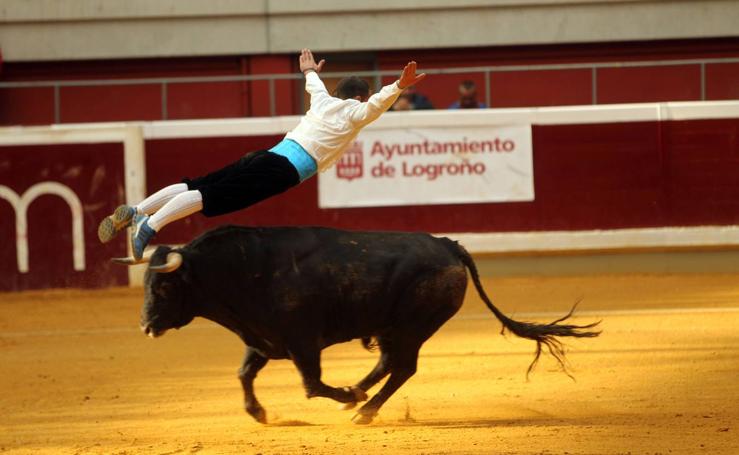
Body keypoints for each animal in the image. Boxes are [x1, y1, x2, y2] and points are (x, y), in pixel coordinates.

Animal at [129, 226, 600, 426]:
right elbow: (243, 374)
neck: (240, 269)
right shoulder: (262, 340)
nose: (146, 326)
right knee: (390, 364)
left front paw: (346, 396)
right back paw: (359, 399)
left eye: (164, 287)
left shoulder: (302, 342)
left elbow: (311, 385)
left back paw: (363, 408)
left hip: (412, 327)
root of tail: (449, 246)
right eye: (147, 284)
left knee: (403, 367)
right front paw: (259, 413)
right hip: (393, 328)